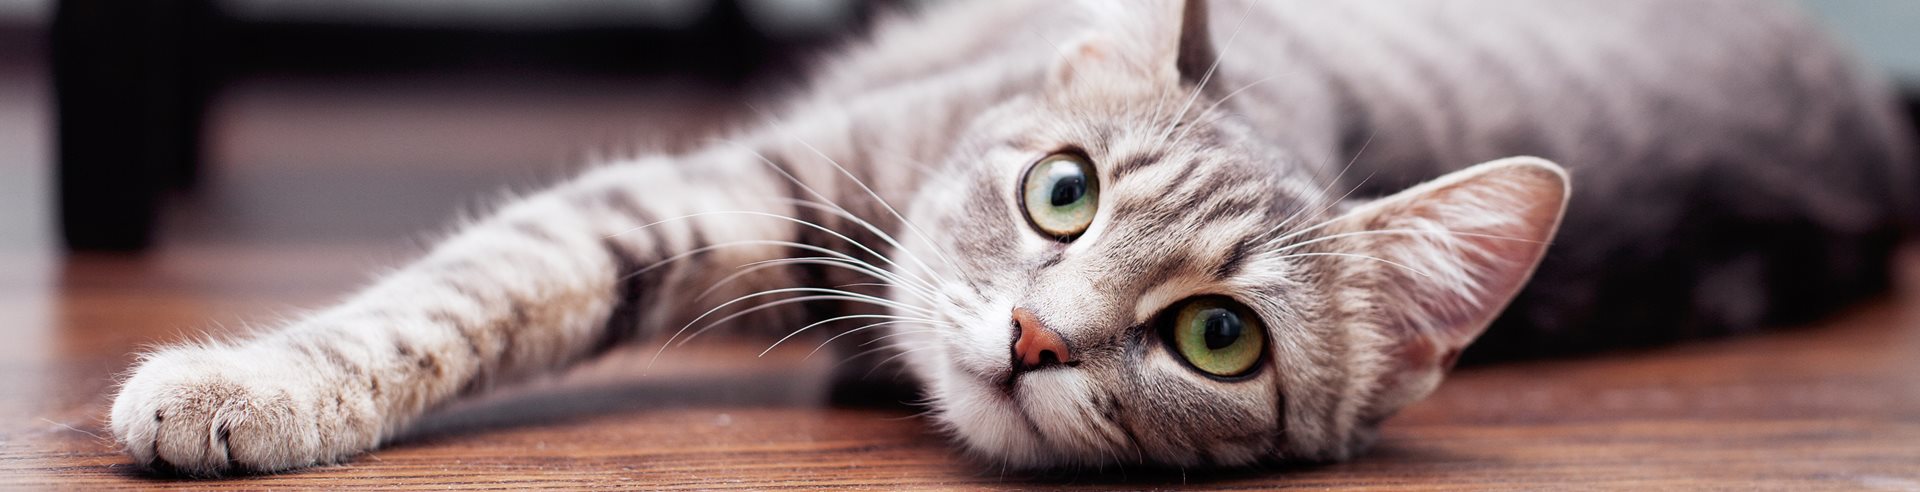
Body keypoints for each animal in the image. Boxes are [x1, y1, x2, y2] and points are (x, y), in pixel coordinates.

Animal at [112, 0, 1912, 476]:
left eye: (1216, 337)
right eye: (1063, 193)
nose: (1037, 338)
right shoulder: (743, 183)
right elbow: (468, 290)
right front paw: (250, 386)